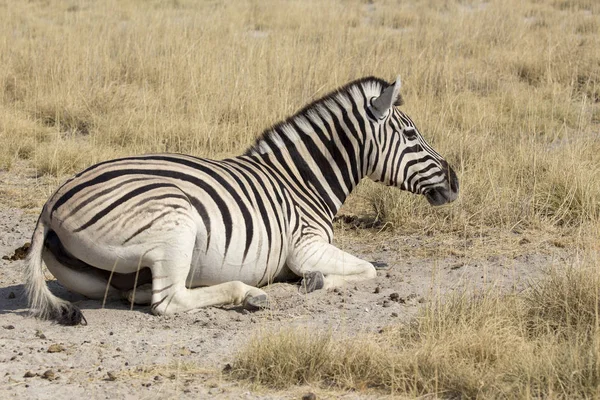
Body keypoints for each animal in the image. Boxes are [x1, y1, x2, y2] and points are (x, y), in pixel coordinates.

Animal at [24, 76, 460, 324]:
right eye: (410, 135)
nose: (455, 182)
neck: (300, 182)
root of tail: (52, 201)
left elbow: (366, 268)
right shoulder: (305, 247)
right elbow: (368, 269)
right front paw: (315, 281)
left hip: (102, 275)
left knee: (132, 292)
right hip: (176, 222)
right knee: (170, 301)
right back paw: (249, 294)